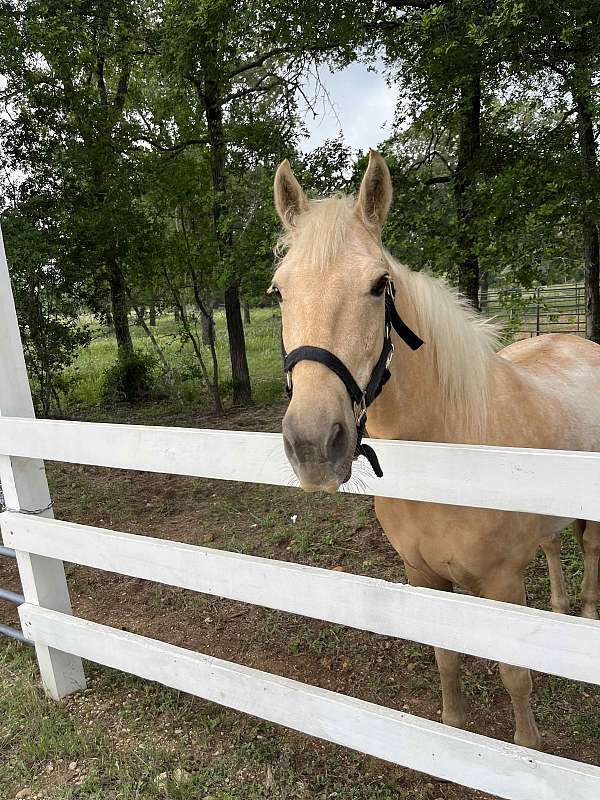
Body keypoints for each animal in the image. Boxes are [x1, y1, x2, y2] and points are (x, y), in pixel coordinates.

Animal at [272, 150, 600, 752]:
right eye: (278, 291)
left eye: (379, 285)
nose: (313, 445)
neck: (450, 457)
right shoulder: (424, 577)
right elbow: (447, 658)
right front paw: (452, 728)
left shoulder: (501, 584)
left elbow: (514, 673)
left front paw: (527, 747)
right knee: (552, 546)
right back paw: (562, 610)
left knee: (588, 549)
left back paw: (584, 619)